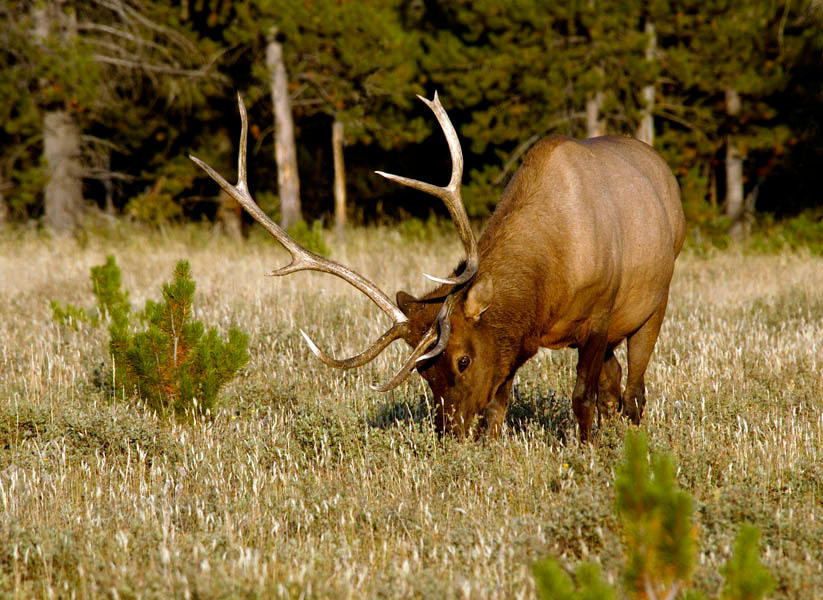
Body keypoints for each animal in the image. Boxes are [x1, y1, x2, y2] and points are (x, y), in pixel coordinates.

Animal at [191, 92, 685, 443]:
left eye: (463, 359)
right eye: (423, 372)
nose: (450, 431)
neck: (549, 282)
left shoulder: (598, 314)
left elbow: (581, 397)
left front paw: (586, 449)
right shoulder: (516, 339)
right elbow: (499, 403)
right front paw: (490, 445)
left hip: (654, 301)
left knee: (635, 391)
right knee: (616, 383)